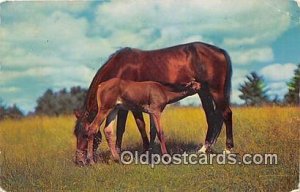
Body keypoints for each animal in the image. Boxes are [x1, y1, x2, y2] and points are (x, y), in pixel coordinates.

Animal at [74, 41, 233, 165]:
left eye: (84, 134)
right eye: (76, 134)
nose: (79, 161)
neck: (121, 65)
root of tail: (220, 51)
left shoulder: (131, 106)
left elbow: (132, 126)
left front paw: (143, 151)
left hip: (215, 90)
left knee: (226, 113)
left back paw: (228, 149)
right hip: (203, 91)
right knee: (211, 116)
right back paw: (204, 149)